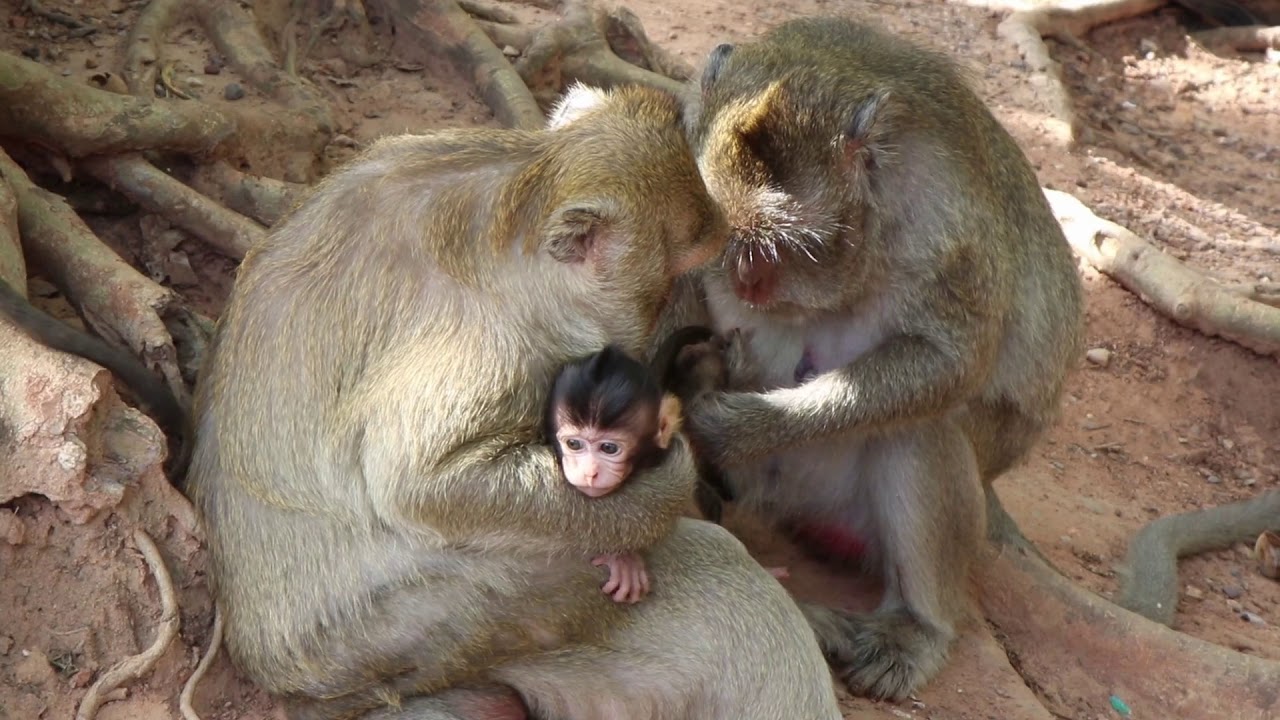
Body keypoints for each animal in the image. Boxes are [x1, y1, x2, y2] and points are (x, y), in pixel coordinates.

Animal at [184, 82, 847, 720]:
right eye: (669, 282)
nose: (680, 332)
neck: (512, 214)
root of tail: (272, 667)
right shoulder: (482, 344)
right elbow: (422, 483)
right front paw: (666, 485)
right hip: (414, 628)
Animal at [673, 17, 1087, 701]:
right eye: (728, 238)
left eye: (786, 245)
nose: (745, 281)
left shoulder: (946, 227)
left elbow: (949, 363)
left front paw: (743, 425)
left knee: (921, 429)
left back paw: (917, 628)